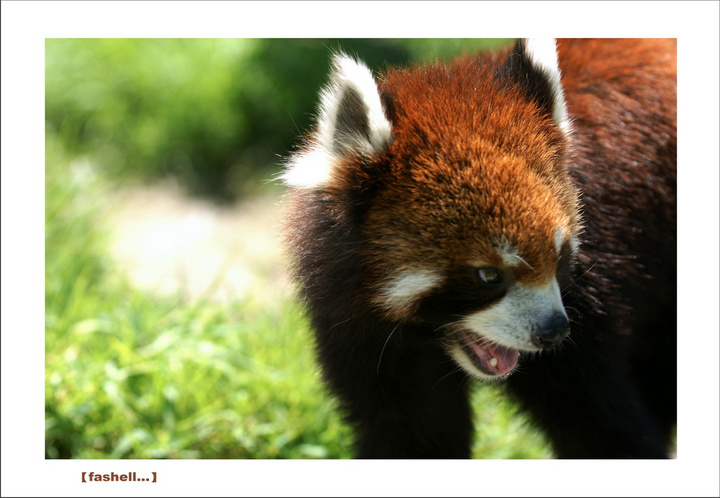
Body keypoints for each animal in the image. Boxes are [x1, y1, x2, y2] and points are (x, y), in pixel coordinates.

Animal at [282, 39, 676, 460]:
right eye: (489, 275)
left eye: (561, 257)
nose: (553, 331)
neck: (431, 339)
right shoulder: (362, 336)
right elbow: (413, 433)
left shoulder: (592, 305)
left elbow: (602, 428)